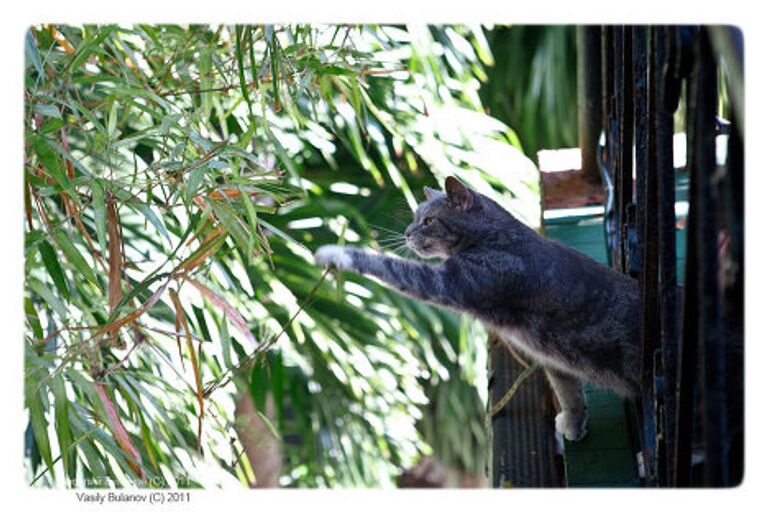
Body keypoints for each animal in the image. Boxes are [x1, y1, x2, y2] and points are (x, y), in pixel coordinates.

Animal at [314, 176, 640, 440]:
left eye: (428, 220)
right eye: (415, 217)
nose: (406, 233)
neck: (496, 237)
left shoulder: (444, 283)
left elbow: (392, 266)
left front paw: (338, 252)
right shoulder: (554, 360)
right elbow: (568, 392)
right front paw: (574, 424)